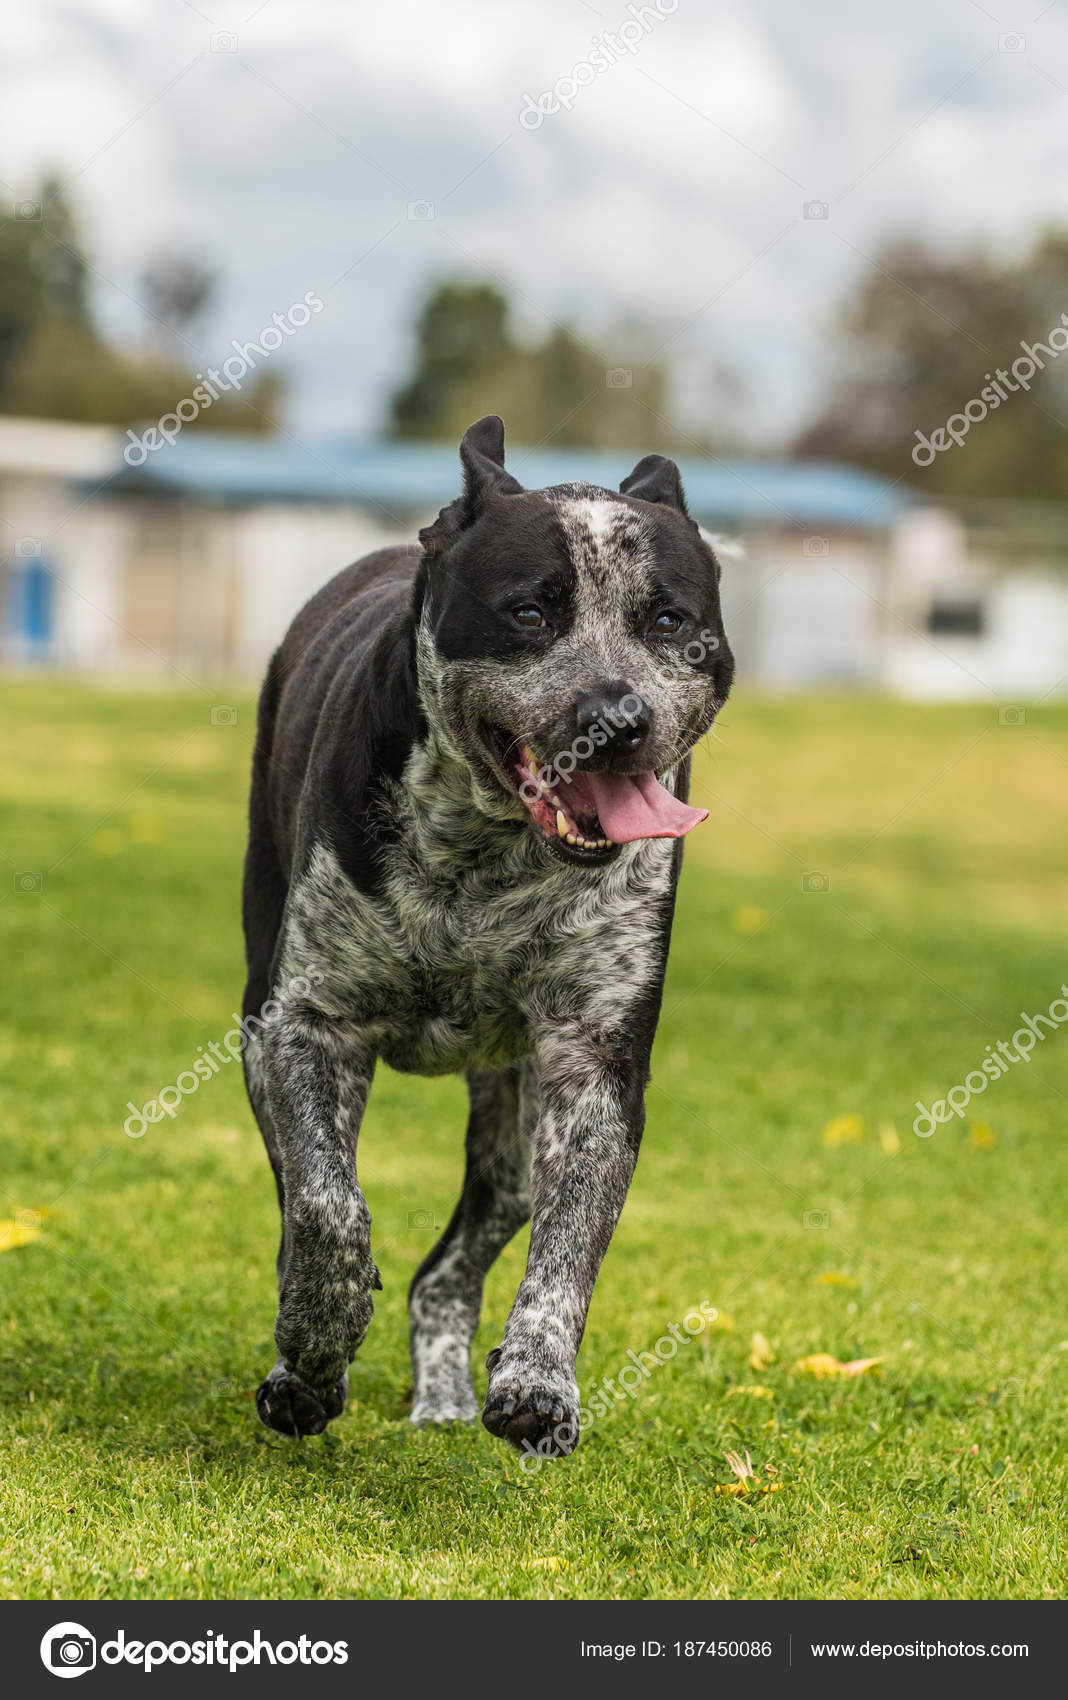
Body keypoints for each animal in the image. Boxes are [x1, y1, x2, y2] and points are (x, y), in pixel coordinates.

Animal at [239, 414, 734, 1462]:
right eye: (530, 613)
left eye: (668, 621)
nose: (617, 720)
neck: (492, 857)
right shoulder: (303, 1026)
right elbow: (327, 1210)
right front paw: (313, 1353)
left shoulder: (593, 1062)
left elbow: (569, 1242)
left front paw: (539, 1383)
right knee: (306, 1196)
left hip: (510, 1131)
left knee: (456, 1262)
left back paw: (445, 1400)